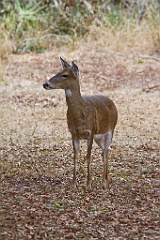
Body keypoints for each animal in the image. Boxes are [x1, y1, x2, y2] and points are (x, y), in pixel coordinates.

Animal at [43, 56, 118, 189]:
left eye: (64, 75)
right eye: (58, 72)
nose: (45, 84)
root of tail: (112, 102)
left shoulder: (90, 132)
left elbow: (88, 156)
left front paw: (88, 183)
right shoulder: (73, 133)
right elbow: (75, 156)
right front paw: (73, 183)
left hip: (110, 130)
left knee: (106, 151)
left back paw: (105, 182)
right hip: (99, 137)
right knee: (104, 151)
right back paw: (105, 179)